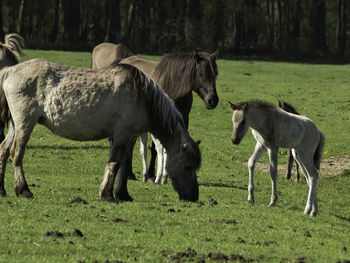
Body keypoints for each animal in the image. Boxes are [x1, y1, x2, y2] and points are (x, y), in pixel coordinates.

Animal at [0, 59, 201, 202]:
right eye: (187, 166)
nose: (193, 197)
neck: (142, 95)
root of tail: (11, 70)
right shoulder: (121, 135)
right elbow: (115, 164)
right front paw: (107, 194)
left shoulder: (128, 137)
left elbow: (123, 165)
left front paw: (123, 194)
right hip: (25, 123)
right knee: (16, 153)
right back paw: (23, 190)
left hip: (15, 125)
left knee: (3, 149)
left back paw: (2, 190)